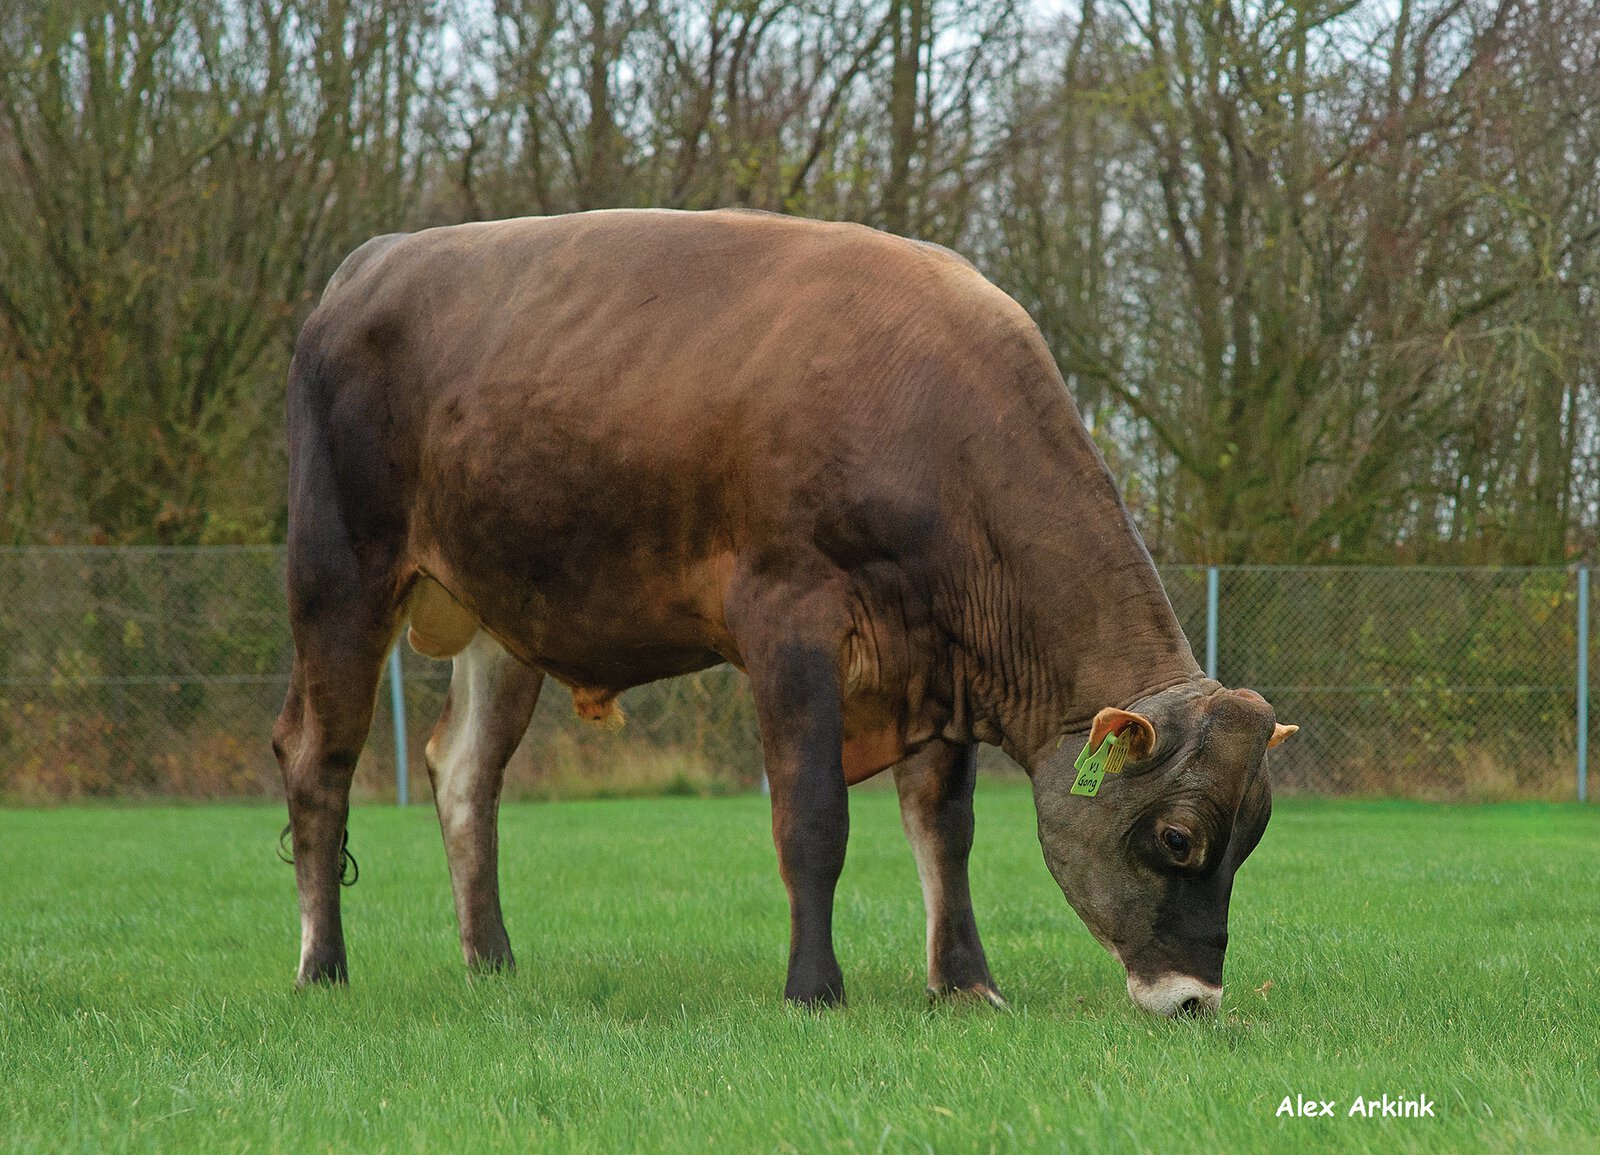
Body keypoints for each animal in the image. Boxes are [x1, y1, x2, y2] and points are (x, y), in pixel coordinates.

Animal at [272, 208, 1296, 1016]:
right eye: (1177, 837)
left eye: (1254, 839)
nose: (1196, 999)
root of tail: (371, 261)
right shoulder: (788, 620)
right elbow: (811, 818)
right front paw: (814, 988)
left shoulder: (934, 668)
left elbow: (945, 830)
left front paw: (965, 982)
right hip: (338, 573)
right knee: (318, 759)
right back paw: (323, 967)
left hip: (498, 614)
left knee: (464, 772)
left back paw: (491, 961)